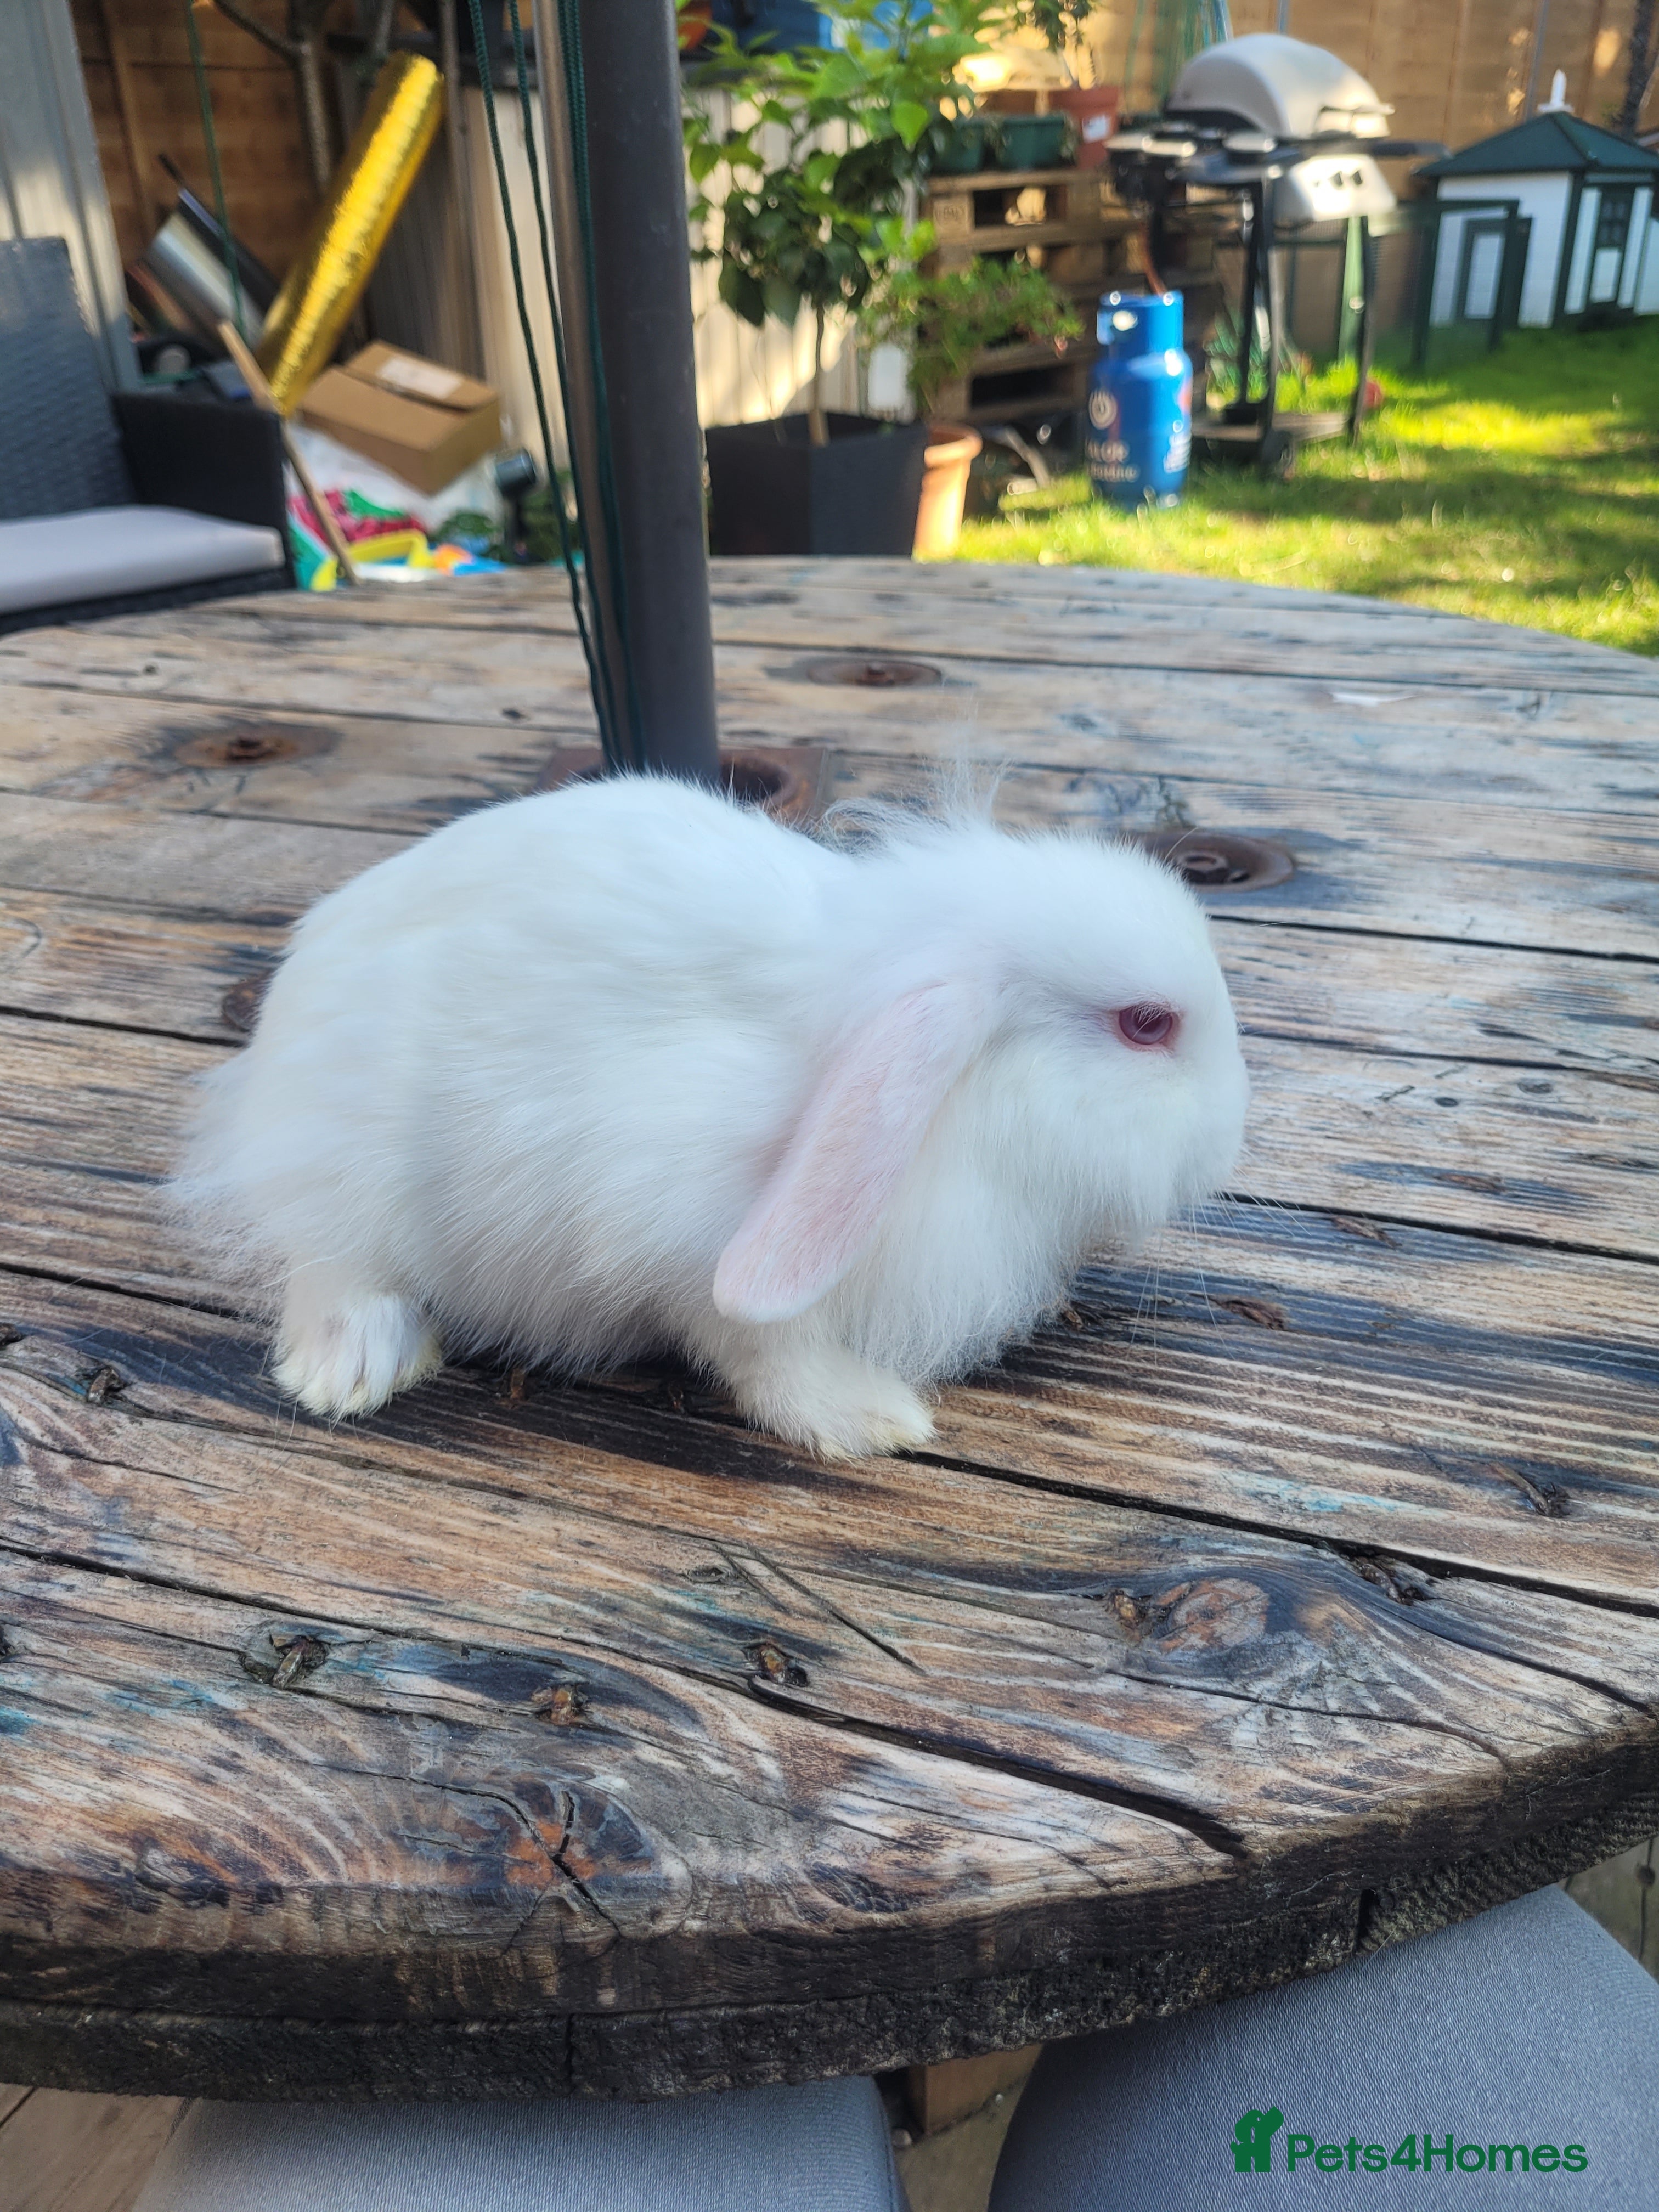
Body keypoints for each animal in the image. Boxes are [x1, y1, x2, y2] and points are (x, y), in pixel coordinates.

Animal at [176, 773, 1249, 1460]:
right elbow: (763, 1347)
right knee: (329, 1266)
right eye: (1145, 1024)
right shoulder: (676, 1225)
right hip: (346, 1172)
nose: (1228, 1141)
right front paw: (871, 1421)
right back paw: (350, 1371)